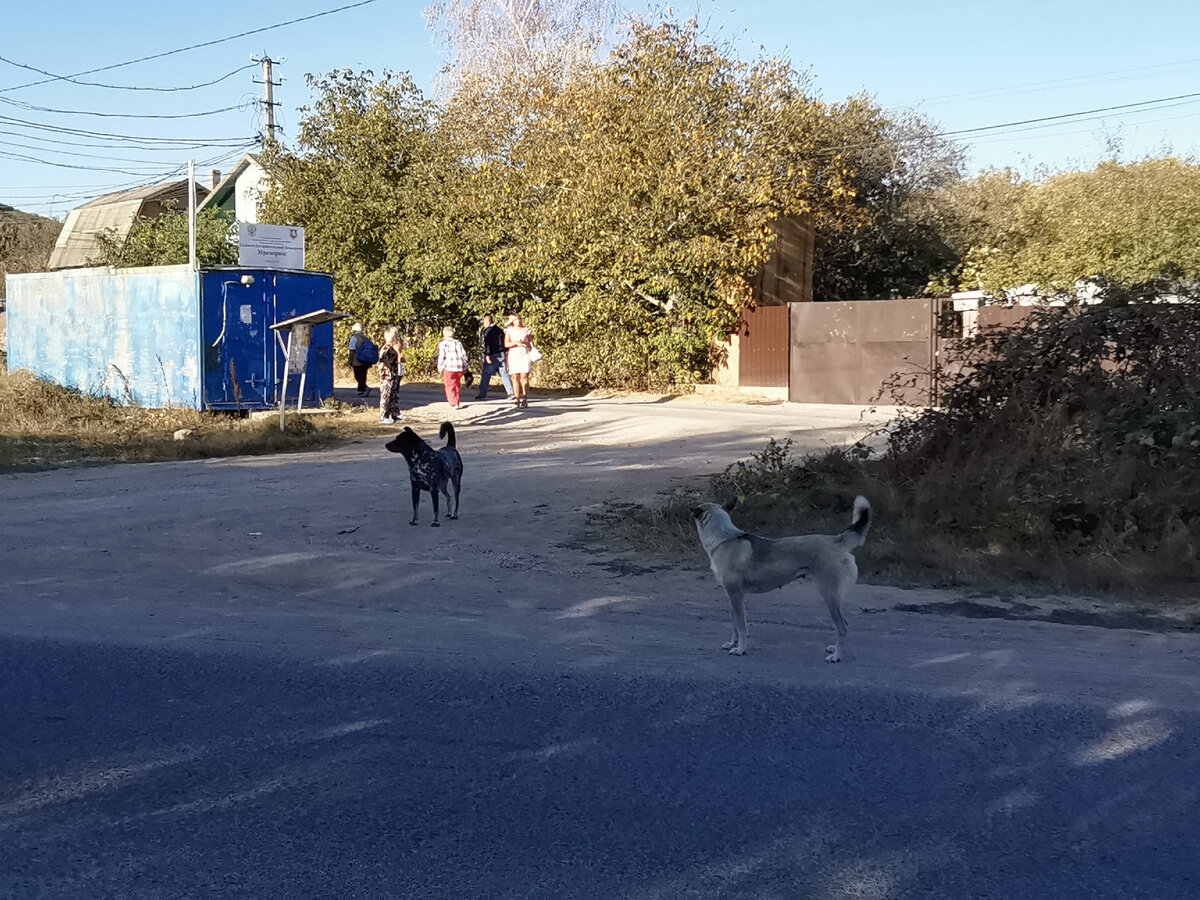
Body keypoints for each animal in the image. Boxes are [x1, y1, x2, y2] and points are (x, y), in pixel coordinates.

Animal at [696, 501, 873, 662]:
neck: (723, 539)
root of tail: (836, 540)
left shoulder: (736, 596)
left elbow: (741, 627)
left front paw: (740, 649)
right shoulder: (732, 596)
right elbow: (734, 624)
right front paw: (733, 643)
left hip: (830, 596)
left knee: (842, 627)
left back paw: (836, 656)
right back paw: (834, 649)